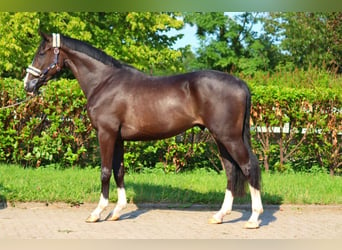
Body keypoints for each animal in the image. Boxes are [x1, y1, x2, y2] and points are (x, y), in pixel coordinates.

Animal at [24, 32, 264, 229]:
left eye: (42, 52)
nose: (27, 84)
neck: (104, 82)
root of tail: (240, 83)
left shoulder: (106, 134)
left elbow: (105, 172)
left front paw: (97, 212)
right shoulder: (118, 138)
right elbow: (119, 171)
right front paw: (117, 211)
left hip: (229, 137)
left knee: (248, 167)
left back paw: (253, 219)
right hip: (221, 139)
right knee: (231, 171)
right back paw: (219, 216)